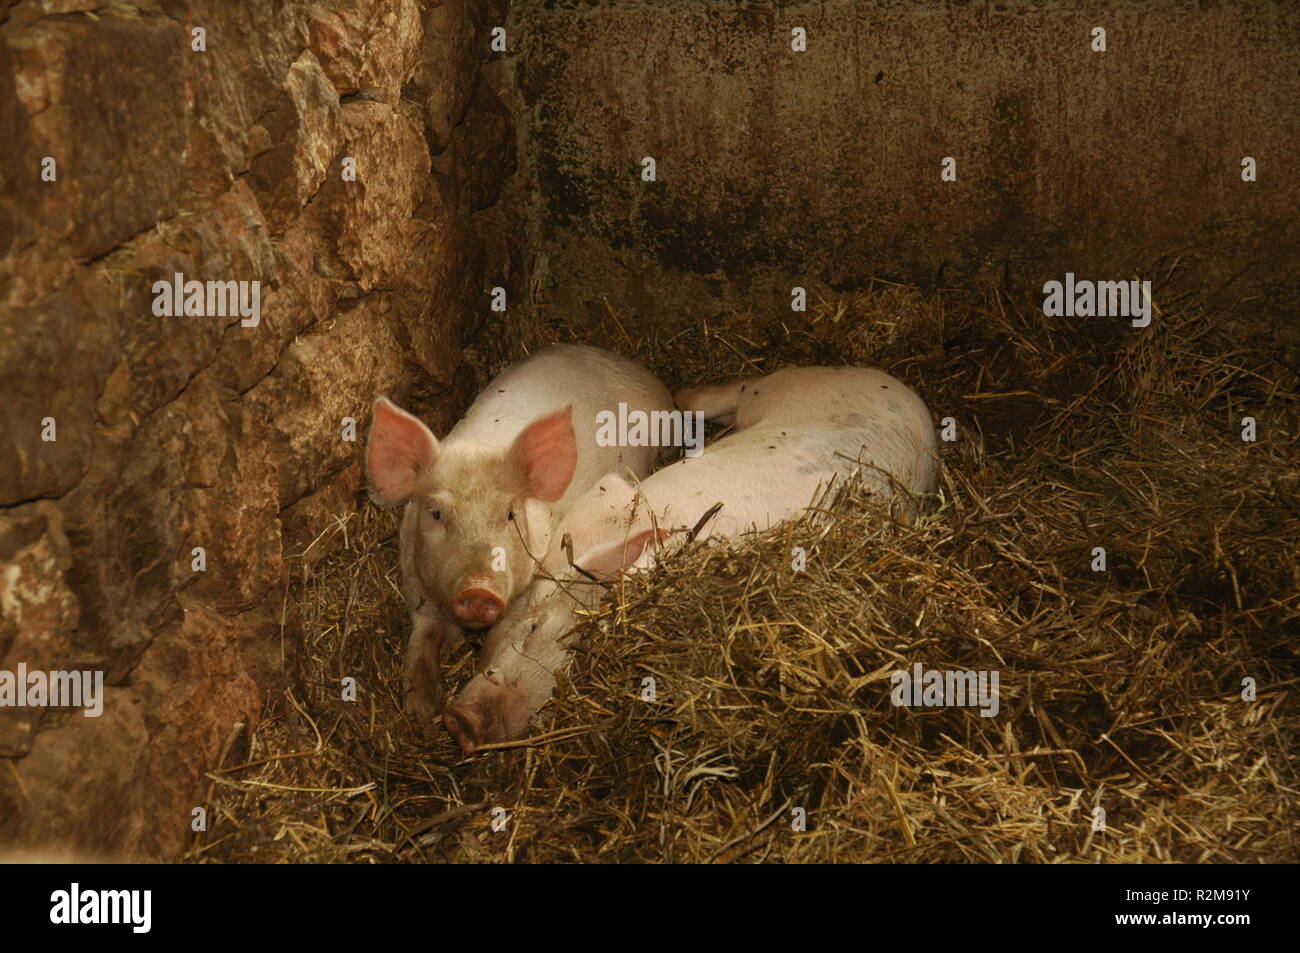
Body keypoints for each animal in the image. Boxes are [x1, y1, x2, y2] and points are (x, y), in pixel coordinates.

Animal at [366, 343, 670, 722]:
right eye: (436, 513)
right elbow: (423, 636)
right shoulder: (417, 586)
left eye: (509, 515)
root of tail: (610, 356)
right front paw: (421, 710)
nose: (479, 589)